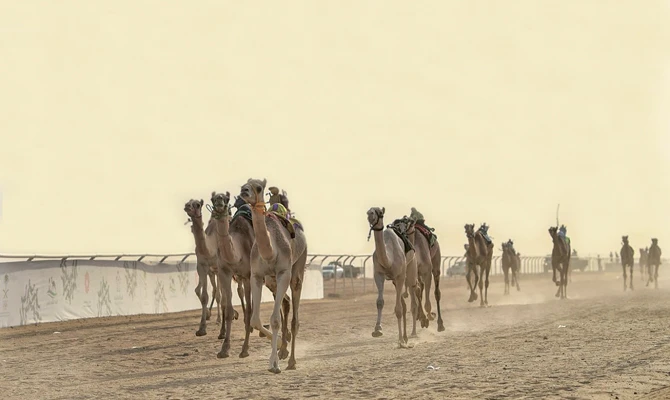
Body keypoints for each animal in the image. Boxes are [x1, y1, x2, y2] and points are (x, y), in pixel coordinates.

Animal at [184, 199, 239, 338]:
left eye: (197, 204)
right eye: (188, 202)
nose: (187, 206)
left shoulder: (219, 267)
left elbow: (222, 298)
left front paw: (223, 331)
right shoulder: (202, 266)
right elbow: (204, 296)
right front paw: (201, 329)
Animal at [239, 178, 308, 373]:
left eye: (258, 187)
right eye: (244, 184)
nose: (244, 191)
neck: (270, 252)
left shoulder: (283, 272)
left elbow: (275, 320)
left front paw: (274, 364)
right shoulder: (256, 275)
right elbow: (255, 320)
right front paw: (276, 348)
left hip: (298, 265)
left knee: (295, 317)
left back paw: (291, 360)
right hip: (271, 281)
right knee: (285, 302)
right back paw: (284, 348)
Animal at [367, 207, 419, 347]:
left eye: (380, 212)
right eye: (369, 210)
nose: (370, 214)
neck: (388, 260)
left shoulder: (400, 276)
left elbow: (399, 309)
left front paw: (400, 341)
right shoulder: (378, 274)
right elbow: (380, 302)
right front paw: (377, 329)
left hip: (411, 269)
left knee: (413, 300)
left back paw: (412, 334)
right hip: (396, 280)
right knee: (405, 304)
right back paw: (406, 337)